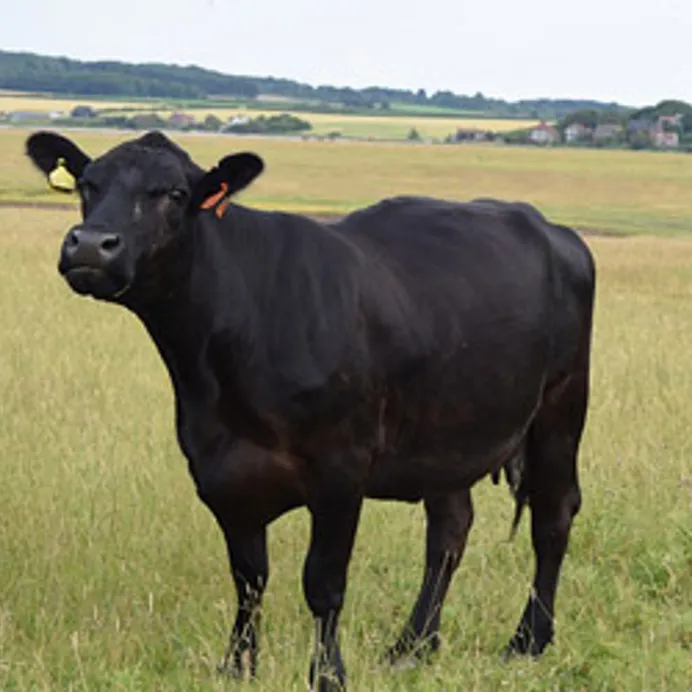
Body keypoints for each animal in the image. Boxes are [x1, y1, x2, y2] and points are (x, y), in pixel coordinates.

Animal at [25, 131, 596, 692]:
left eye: (174, 193)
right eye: (88, 183)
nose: (91, 244)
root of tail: (552, 229)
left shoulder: (341, 469)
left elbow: (322, 582)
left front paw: (327, 675)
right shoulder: (220, 471)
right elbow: (249, 577)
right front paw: (237, 666)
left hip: (561, 407)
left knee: (553, 516)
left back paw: (527, 641)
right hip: (447, 431)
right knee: (450, 530)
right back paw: (412, 647)